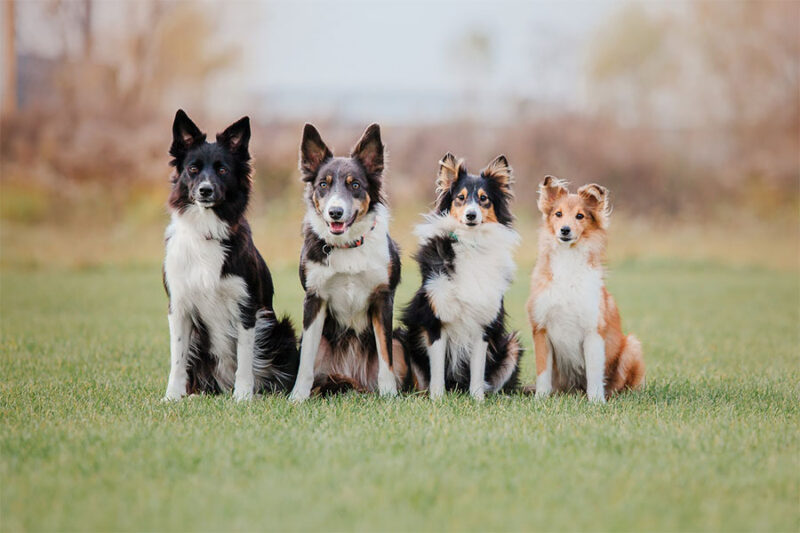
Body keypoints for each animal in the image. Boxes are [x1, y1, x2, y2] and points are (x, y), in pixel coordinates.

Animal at [163, 109, 300, 400]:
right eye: (193, 169)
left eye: (223, 170)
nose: (205, 190)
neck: (207, 230)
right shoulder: (179, 306)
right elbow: (178, 358)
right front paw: (171, 397)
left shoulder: (247, 307)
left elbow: (245, 357)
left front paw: (243, 396)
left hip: (280, 330)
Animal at [288, 122, 406, 402]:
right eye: (323, 184)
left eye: (355, 185)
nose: (335, 212)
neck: (348, 245)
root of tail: (352, 376)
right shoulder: (314, 298)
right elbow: (305, 363)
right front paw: (297, 397)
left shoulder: (382, 298)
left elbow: (385, 359)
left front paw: (389, 395)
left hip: (399, 343)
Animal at [396, 153, 524, 400]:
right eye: (460, 198)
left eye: (484, 199)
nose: (471, 215)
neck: (470, 242)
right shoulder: (435, 320)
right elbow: (437, 369)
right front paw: (438, 398)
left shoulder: (483, 324)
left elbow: (477, 369)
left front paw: (478, 400)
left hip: (512, 346)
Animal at [528, 177, 648, 402]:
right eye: (558, 214)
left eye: (580, 216)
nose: (565, 230)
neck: (567, 262)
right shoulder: (541, 329)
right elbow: (542, 372)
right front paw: (540, 398)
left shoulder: (593, 331)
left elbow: (594, 371)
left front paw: (597, 401)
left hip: (632, 346)